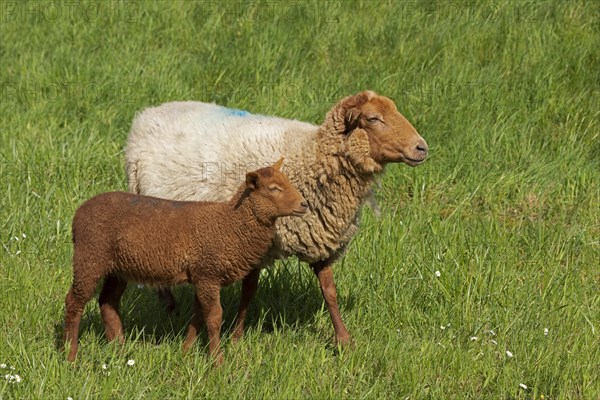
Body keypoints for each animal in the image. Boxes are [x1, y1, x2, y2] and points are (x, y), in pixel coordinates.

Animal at [63, 158, 308, 364]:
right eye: (273, 189)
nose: (304, 204)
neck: (231, 223)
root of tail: (78, 214)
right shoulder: (208, 274)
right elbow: (214, 317)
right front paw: (217, 361)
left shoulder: (201, 276)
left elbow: (198, 314)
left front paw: (186, 351)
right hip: (90, 257)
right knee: (74, 302)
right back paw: (70, 355)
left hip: (118, 268)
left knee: (107, 302)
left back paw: (119, 349)